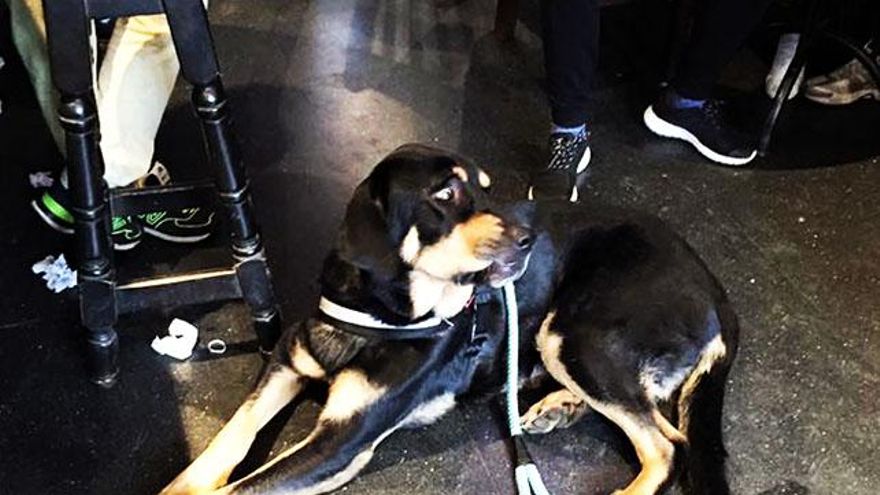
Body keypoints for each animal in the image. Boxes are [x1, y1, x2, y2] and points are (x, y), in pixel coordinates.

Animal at [161, 144, 739, 495]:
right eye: (445, 193)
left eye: (485, 189)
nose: (529, 240)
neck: (378, 311)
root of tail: (715, 286)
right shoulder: (284, 363)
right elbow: (225, 441)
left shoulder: (342, 440)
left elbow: (241, 488)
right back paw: (560, 406)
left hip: (573, 334)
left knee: (668, 445)